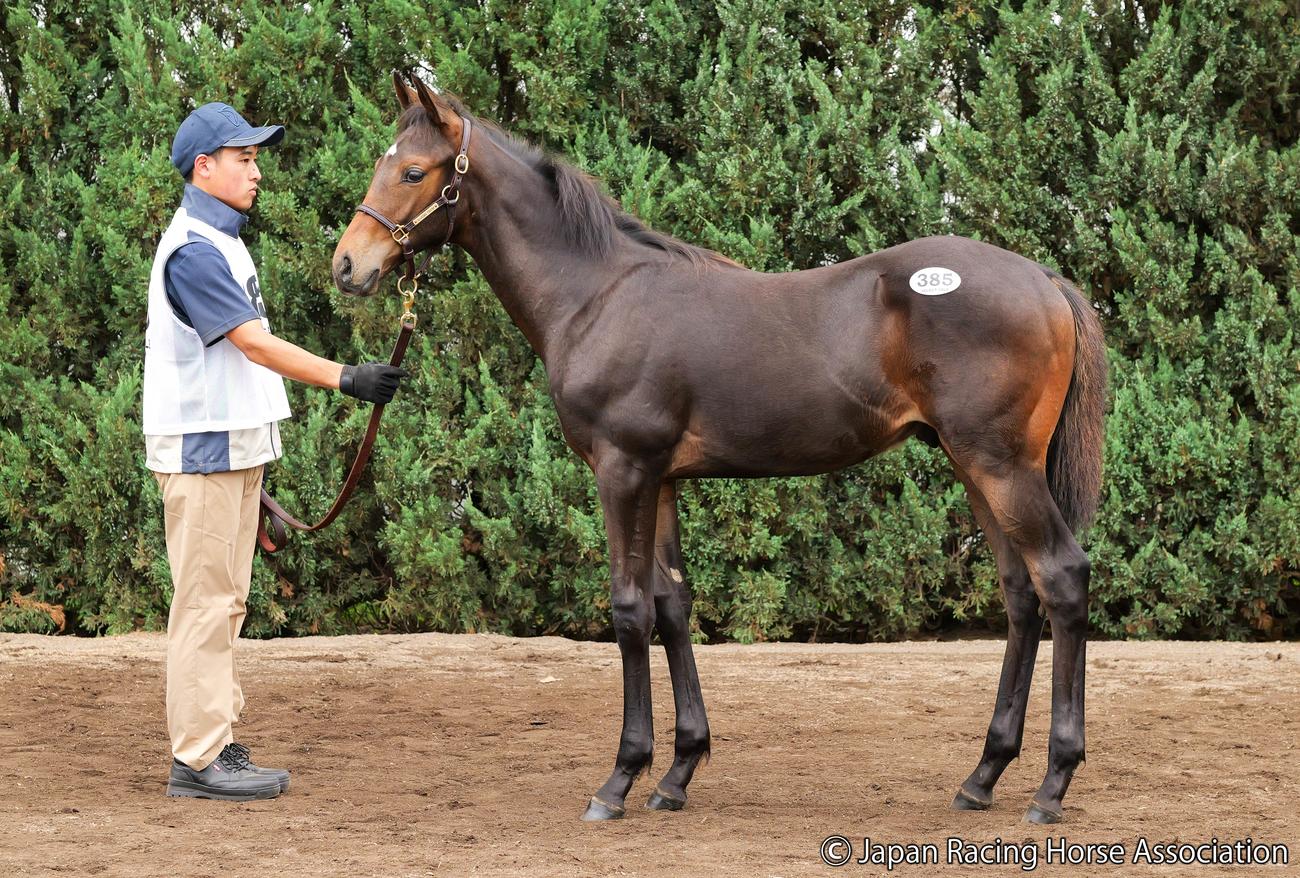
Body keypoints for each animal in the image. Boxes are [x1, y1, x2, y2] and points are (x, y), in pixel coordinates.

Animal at [332, 72, 1107, 825]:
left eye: (412, 171)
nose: (347, 265)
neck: (597, 296)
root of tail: (1044, 281)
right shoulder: (664, 480)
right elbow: (674, 606)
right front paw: (676, 773)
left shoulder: (622, 470)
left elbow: (630, 610)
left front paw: (619, 779)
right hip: (974, 467)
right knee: (1020, 593)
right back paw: (983, 776)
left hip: (1000, 466)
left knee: (1063, 577)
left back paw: (1052, 785)